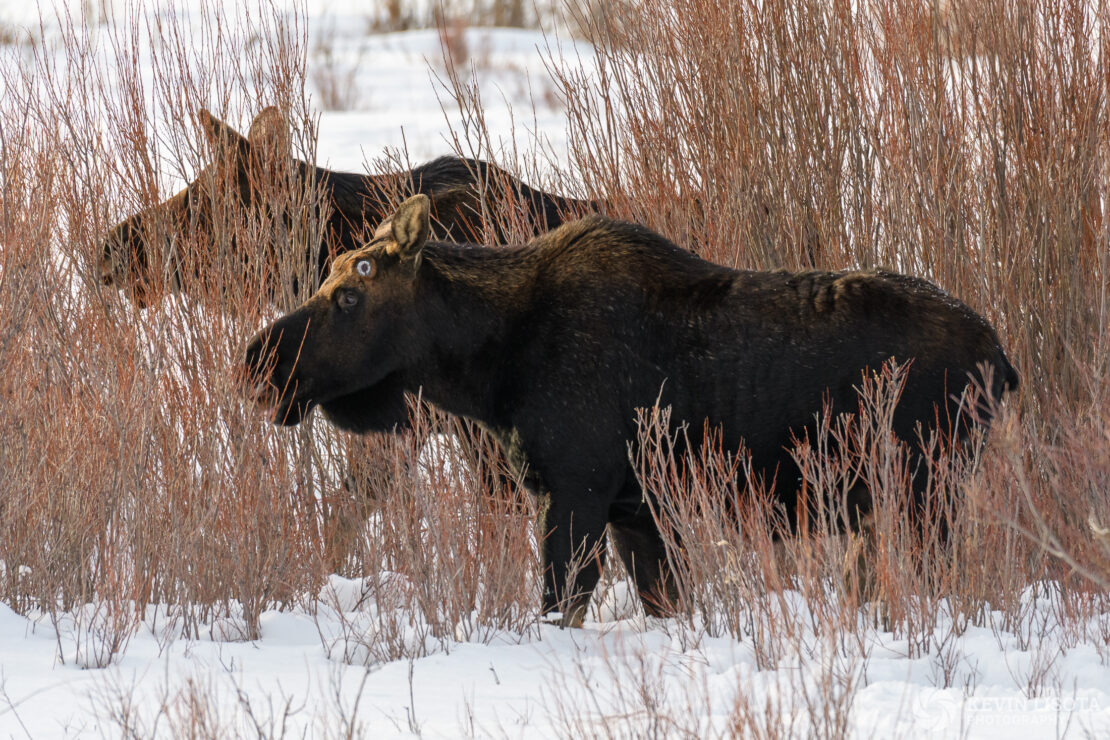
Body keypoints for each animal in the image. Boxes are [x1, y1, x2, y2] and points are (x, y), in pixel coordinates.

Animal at [245, 194, 1021, 630]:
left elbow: (559, 605)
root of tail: (1003, 359)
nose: (258, 362)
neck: (490, 368)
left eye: (350, 294)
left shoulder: (578, 492)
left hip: (927, 492)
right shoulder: (637, 510)